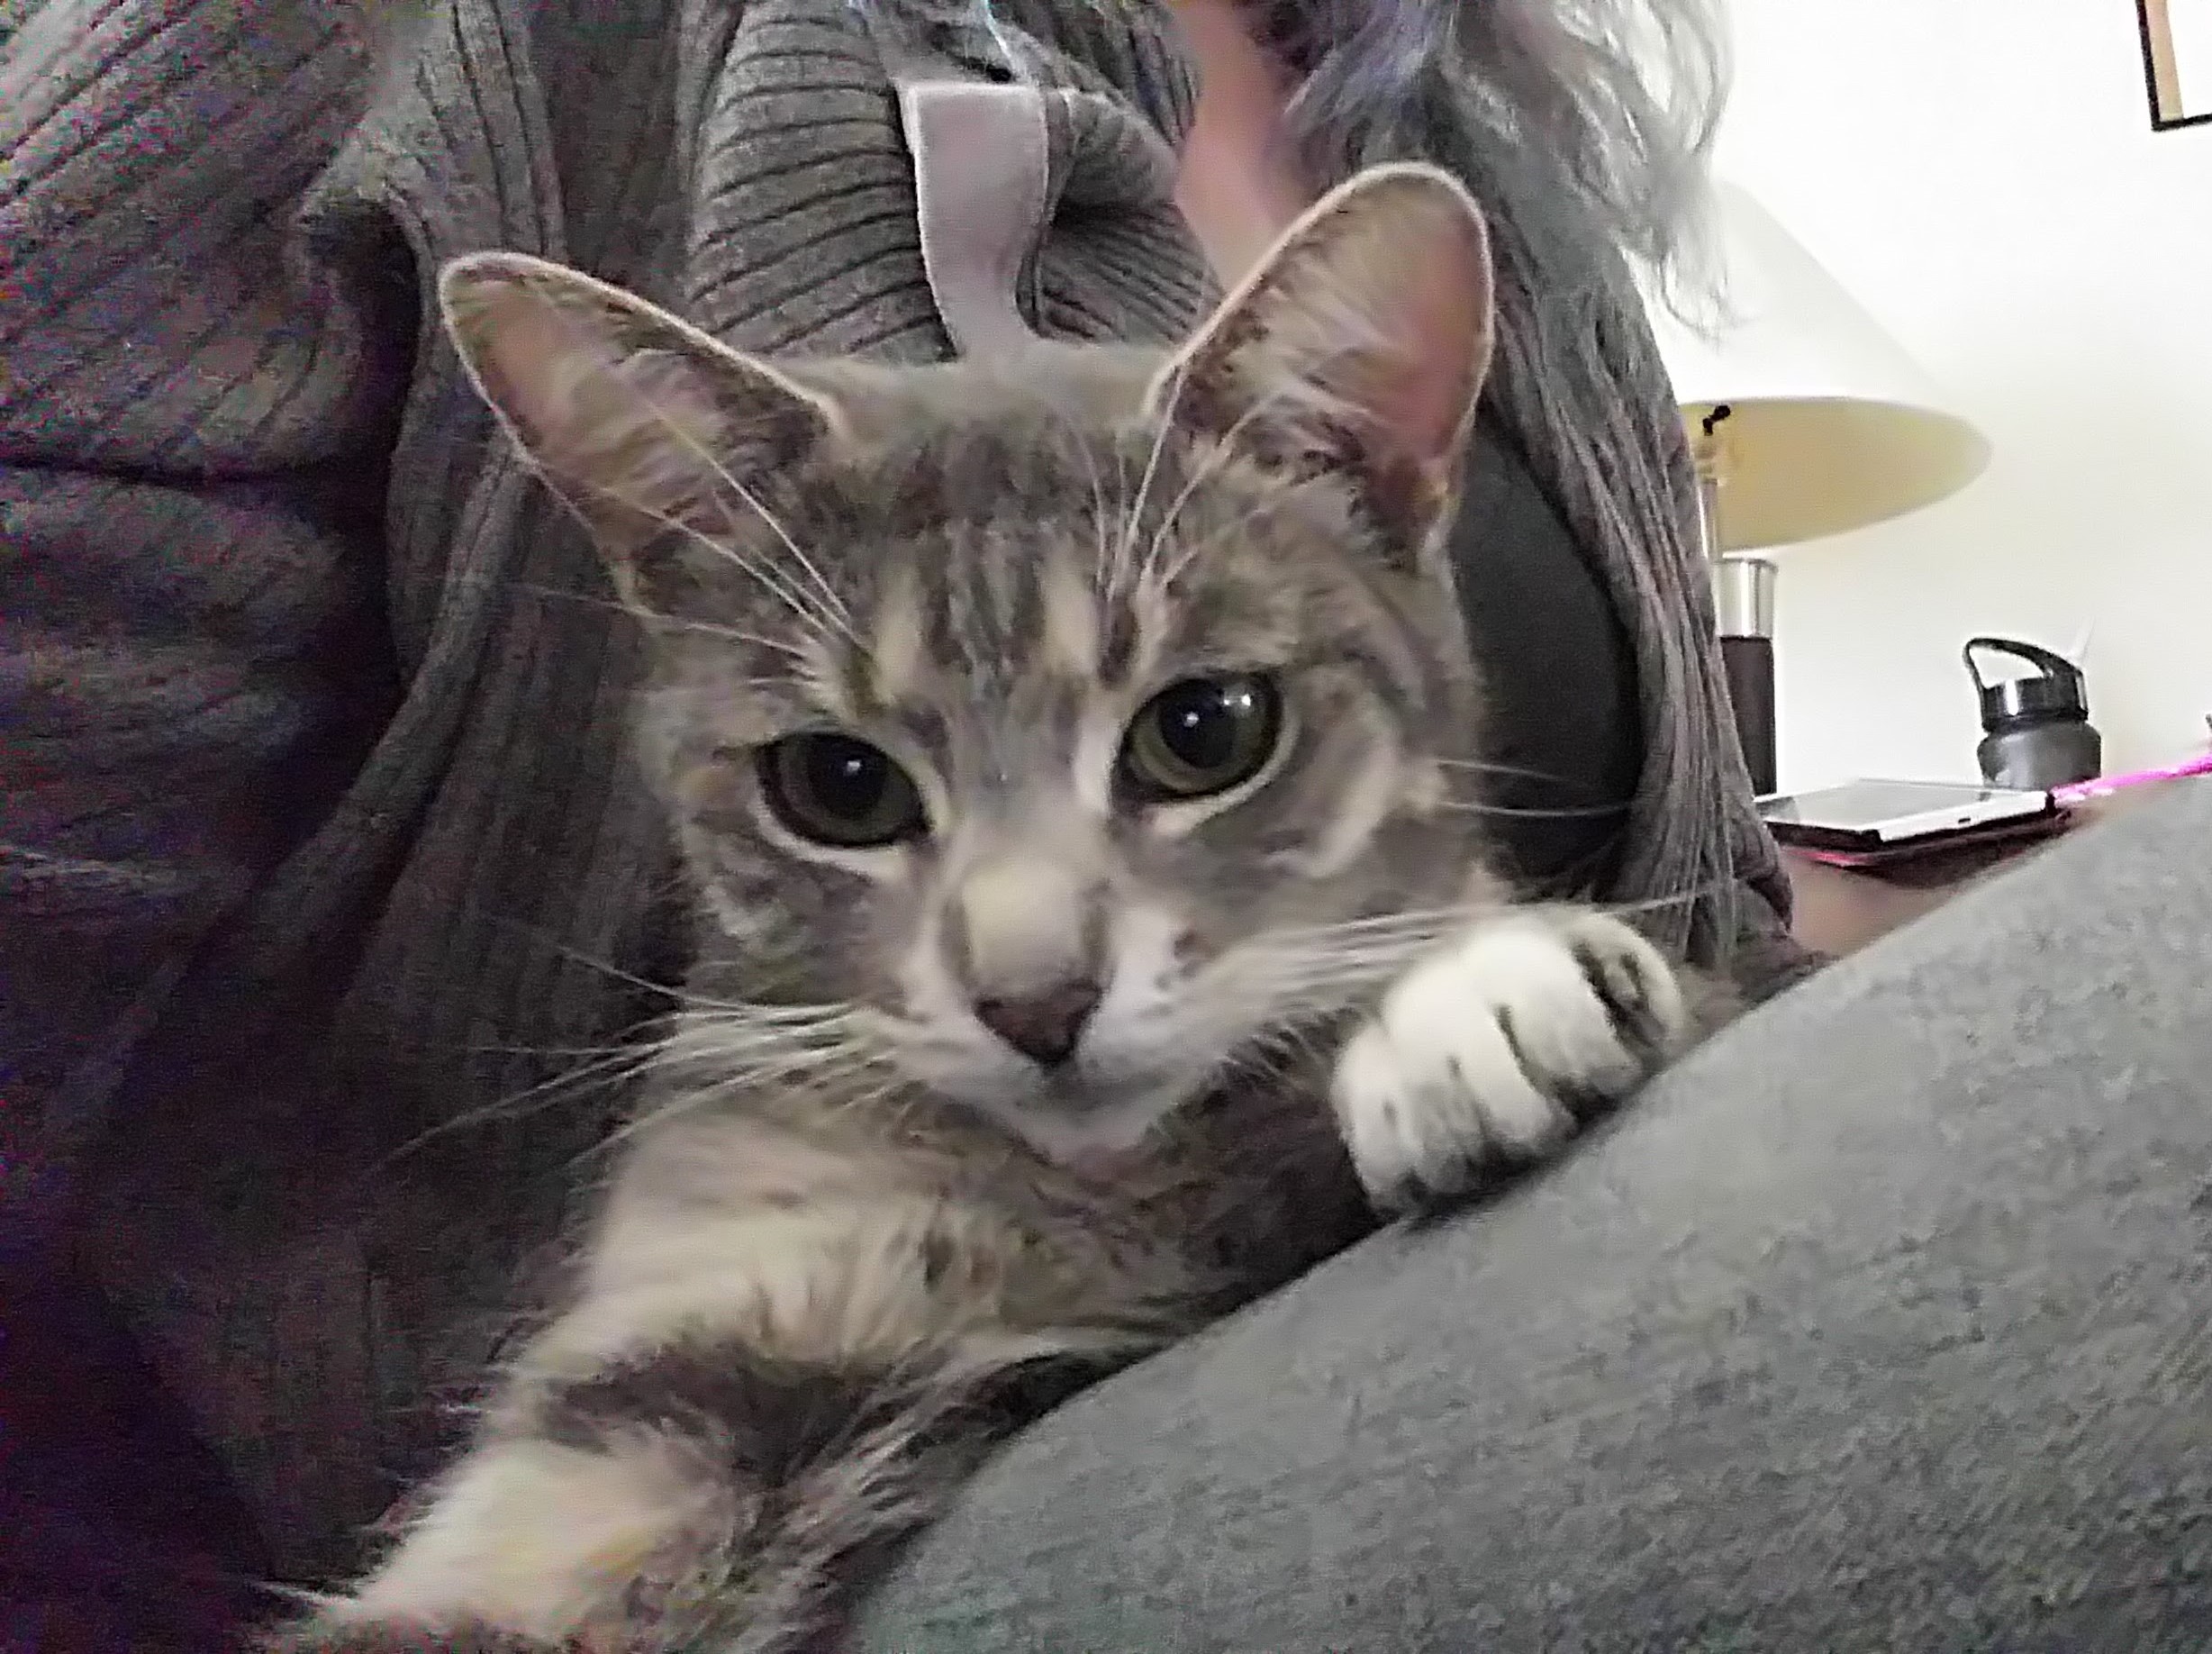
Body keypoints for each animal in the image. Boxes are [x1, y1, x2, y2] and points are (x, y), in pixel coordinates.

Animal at [280, 164, 1725, 1654]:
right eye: (838, 784)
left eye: (1206, 730)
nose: (1036, 1001)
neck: (1101, 1195)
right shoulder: (689, 1336)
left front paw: (1474, 994)